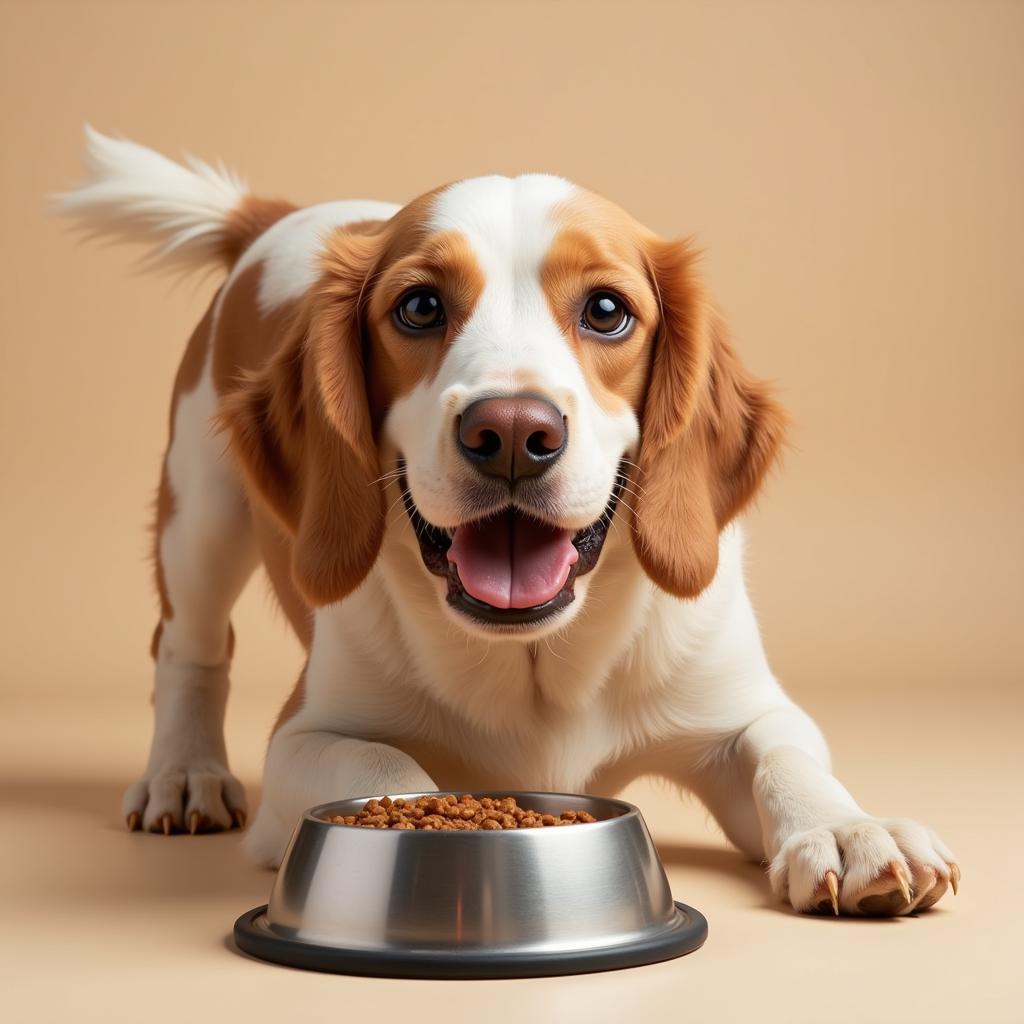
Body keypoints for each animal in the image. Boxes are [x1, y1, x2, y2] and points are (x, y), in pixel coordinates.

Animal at [61, 130, 958, 921]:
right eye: (420, 306)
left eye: (607, 310)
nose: (514, 433)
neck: (534, 661)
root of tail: (279, 216)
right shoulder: (306, 734)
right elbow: (383, 763)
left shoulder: (741, 709)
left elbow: (787, 755)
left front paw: (848, 831)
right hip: (202, 516)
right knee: (188, 646)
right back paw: (184, 772)